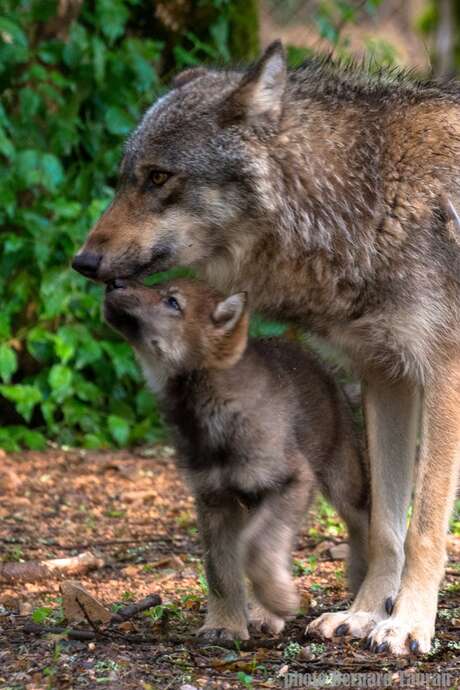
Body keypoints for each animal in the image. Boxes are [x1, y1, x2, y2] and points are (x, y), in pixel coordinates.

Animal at [72, 40, 460, 652]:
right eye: (125, 179)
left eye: (158, 177)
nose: (82, 261)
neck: (369, 194)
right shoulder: (387, 374)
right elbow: (385, 528)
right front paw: (364, 614)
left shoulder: (443, 373)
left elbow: (422, 528)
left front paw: (407, 626)